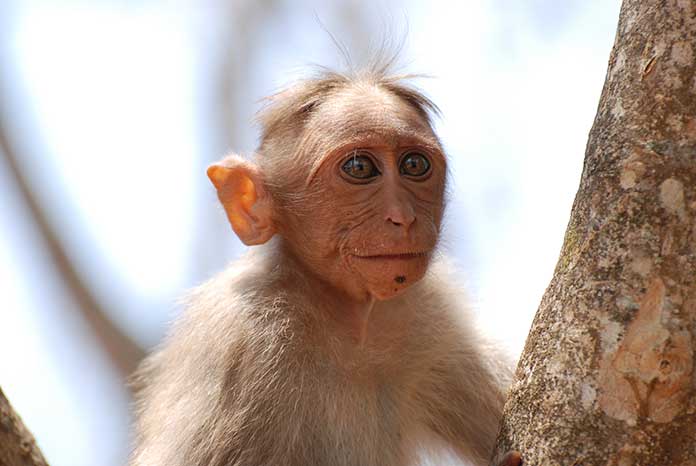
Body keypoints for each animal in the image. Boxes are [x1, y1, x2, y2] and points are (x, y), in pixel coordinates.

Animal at [129, 63, 520, 466]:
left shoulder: (432, 315)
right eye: (360, 167)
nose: (404, 218)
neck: (346, 318)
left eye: (414, 165)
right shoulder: (237, 341)